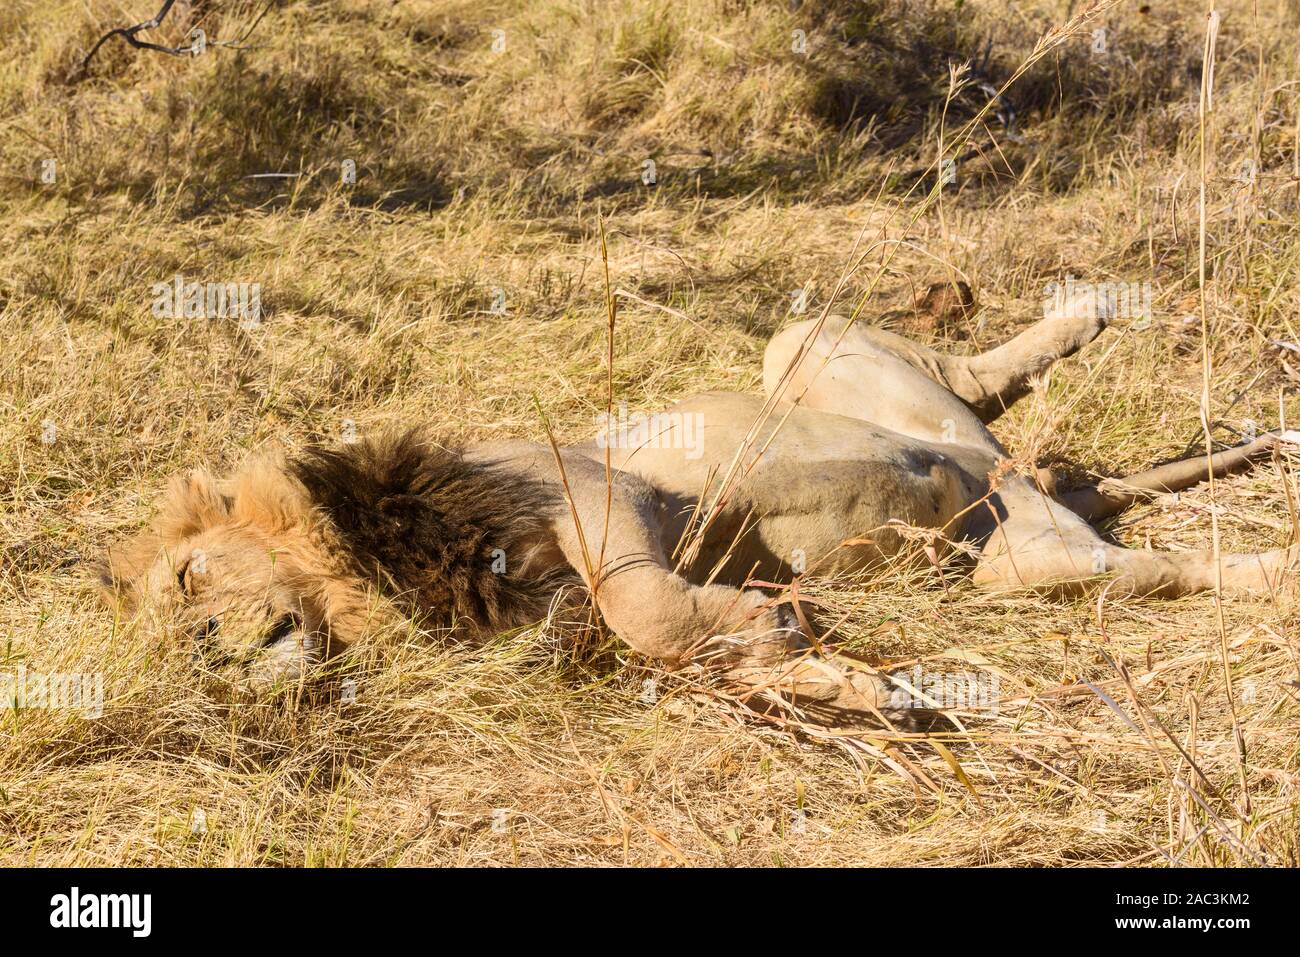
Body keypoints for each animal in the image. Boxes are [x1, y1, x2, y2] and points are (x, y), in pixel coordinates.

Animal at [98, 295, 1299, 725]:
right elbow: (702, 653)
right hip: (1030, 564)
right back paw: (1272, 574)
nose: (202, 650)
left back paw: (1091, 309)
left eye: (191, 580)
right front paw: (847, 678)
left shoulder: (583, 484)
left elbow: (646, 607)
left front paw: (772, 626)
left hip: (815, 349)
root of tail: (1039, 480)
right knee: (1170, 568)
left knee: (969, 367)